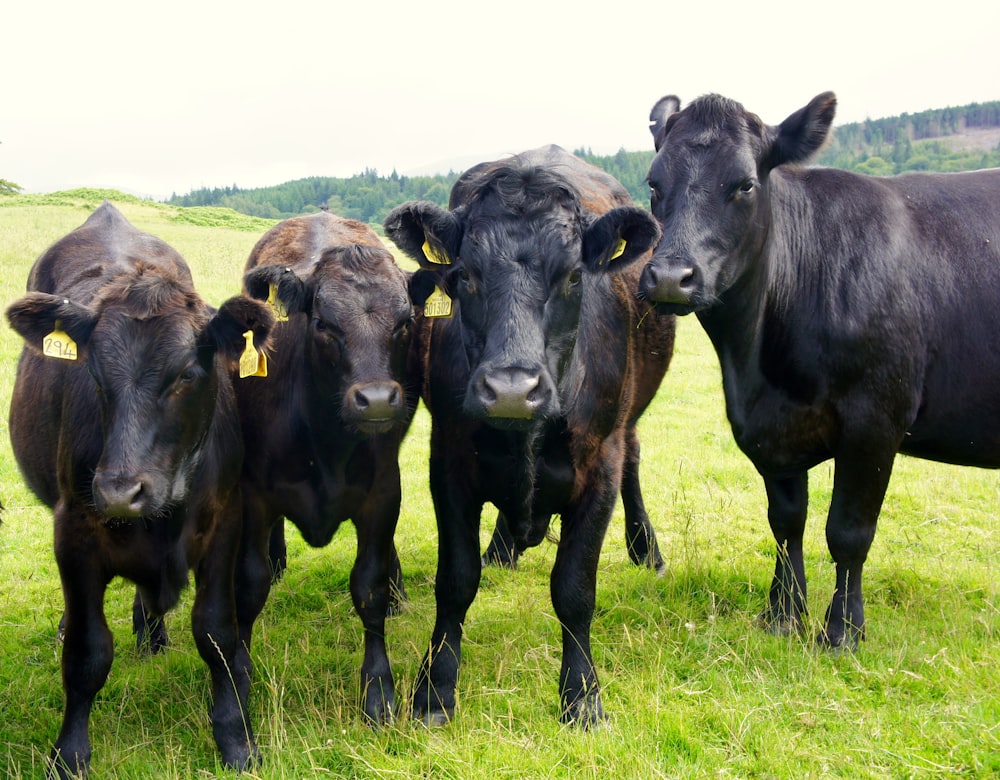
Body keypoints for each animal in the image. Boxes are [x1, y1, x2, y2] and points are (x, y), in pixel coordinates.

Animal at [7, 204, 276, 776]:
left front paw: (236, 739)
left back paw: (152, 633)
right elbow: (87, 652)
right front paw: (69, 754)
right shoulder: (74, 531)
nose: (118, 492)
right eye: (93, 372)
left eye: (187, 373)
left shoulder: (225, 521)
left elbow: (217, 633)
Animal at [229, 212, 414, 724]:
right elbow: (248, 588)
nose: (377, 400)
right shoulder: (252, 494)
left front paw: (378, 691)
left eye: (405, 322)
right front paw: (240, 681)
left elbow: (368, 586)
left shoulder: (383, 494)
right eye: (324, 324)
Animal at [386, 145, 676, 724]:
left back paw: (647, 551)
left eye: (573, 277)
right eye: (464, 275)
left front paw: (582, 696)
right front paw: (434, 689)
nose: (512, 390)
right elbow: (456, 581)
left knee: (634, 458)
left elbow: (574, 589)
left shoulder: (599, 467)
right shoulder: (448, 462)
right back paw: (503, 547)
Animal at [636, 91, 1000, 648]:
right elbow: (786, 523)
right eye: (654, 183)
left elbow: (847, 532)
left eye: (744, 184)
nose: (671, 277)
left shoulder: (876, 420)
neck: (757, 366)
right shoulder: (771, 429)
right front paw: (783, 614)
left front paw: (843, 630)